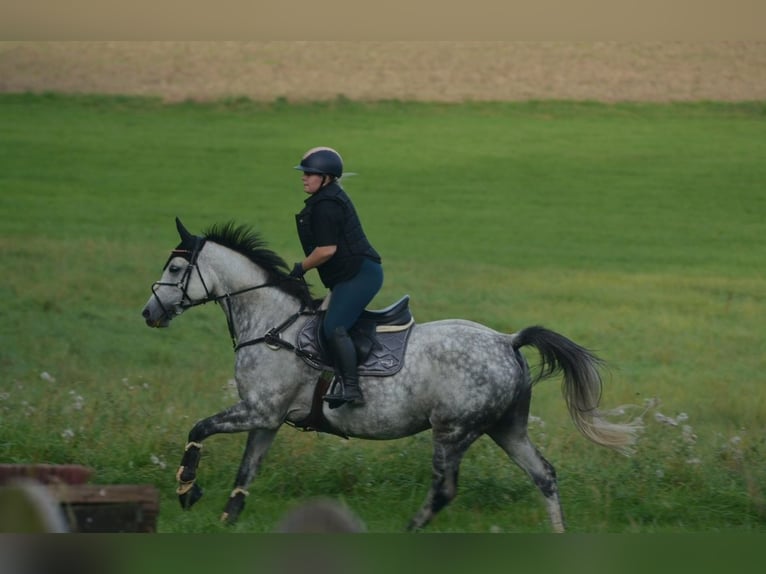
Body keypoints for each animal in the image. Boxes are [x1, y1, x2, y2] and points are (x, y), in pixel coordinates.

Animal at [142, 218, 640, 532]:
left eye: (176, 267)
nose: (149, 312)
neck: (272, 324)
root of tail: (507, 341)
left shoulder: (256, 410)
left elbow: (198, 429)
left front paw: (186, 491)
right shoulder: (267, 419)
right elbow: (246, 470)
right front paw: (226, 520)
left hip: (453, 431)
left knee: (445, 490)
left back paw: (410, 530)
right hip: (506, 428)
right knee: (545, 476)